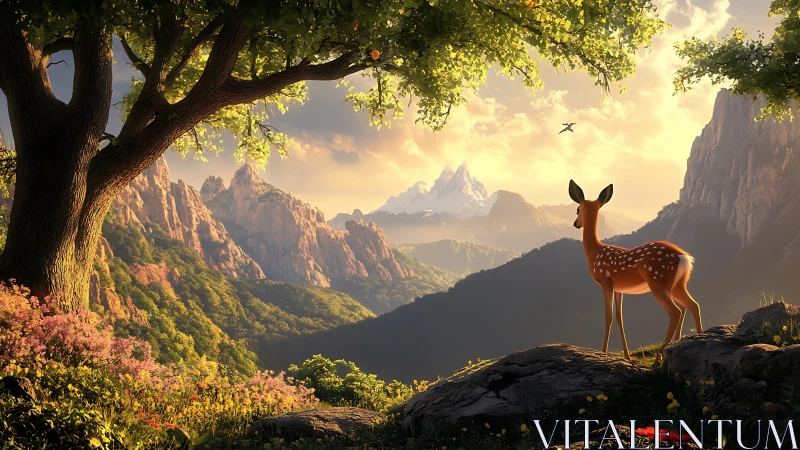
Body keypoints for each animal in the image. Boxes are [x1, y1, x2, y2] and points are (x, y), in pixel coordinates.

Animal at [568, 180, 703, 362]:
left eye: (577, 210)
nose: (576, 224)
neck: (594, 252)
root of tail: (683, 257)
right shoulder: (619, 288)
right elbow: (620, 318)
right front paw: (626, 356)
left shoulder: (605, 280)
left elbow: (608, 316)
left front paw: (603, 353)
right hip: (678, 284)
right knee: (693, 305)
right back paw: (698, 339)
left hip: (658, 280)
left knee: (675, 311)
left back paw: (659, 357)